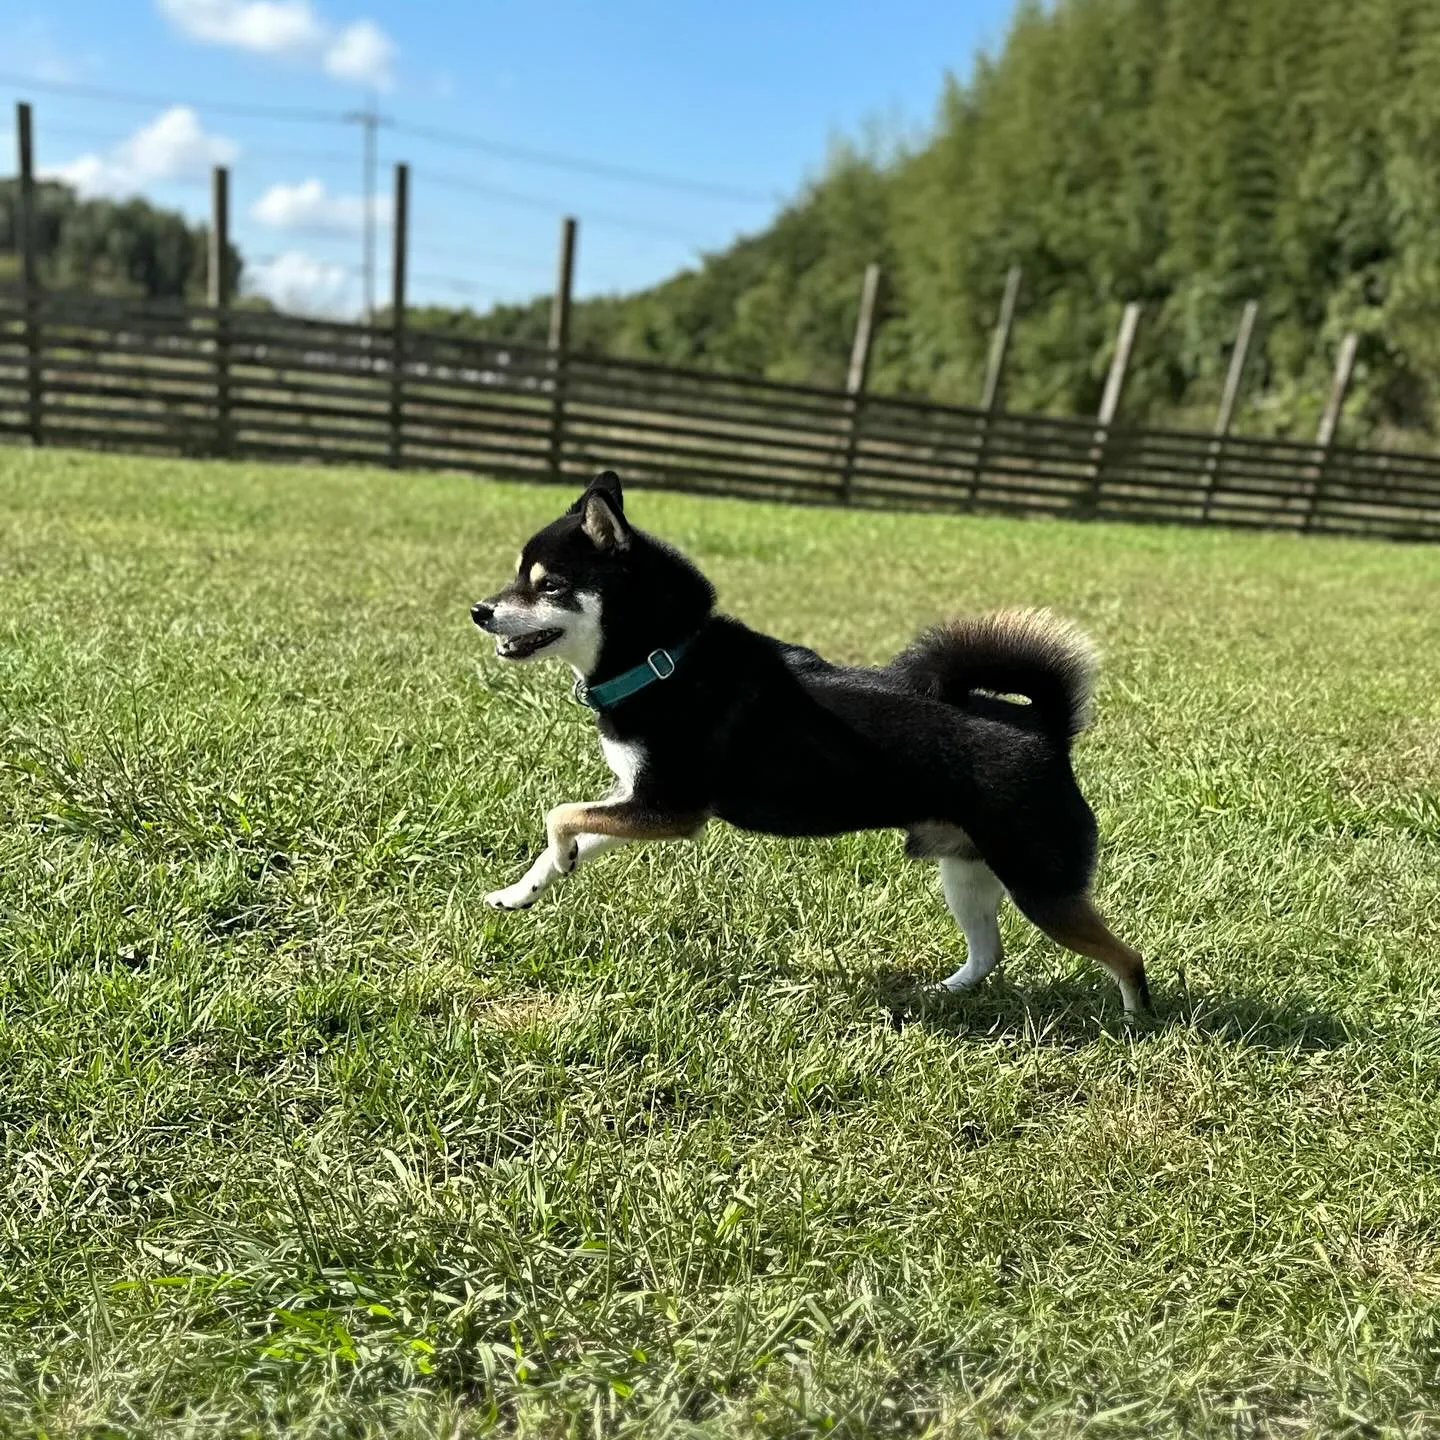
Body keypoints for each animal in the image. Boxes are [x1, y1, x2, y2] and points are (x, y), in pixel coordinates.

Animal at [472, 472, 1146, 1013]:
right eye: (518, 575)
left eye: (550, 585)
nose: (480, 610)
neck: (665, 661)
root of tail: (1047, 729)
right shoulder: (639, 798)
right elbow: (575, 828)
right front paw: (526, 888)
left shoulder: (672, 808)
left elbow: (559, 813)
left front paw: (559, 857)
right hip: (967, 871)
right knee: (989, 953)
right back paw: (939, 994)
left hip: (1041, 885)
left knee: (1126, 957)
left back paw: (1134, 1021)